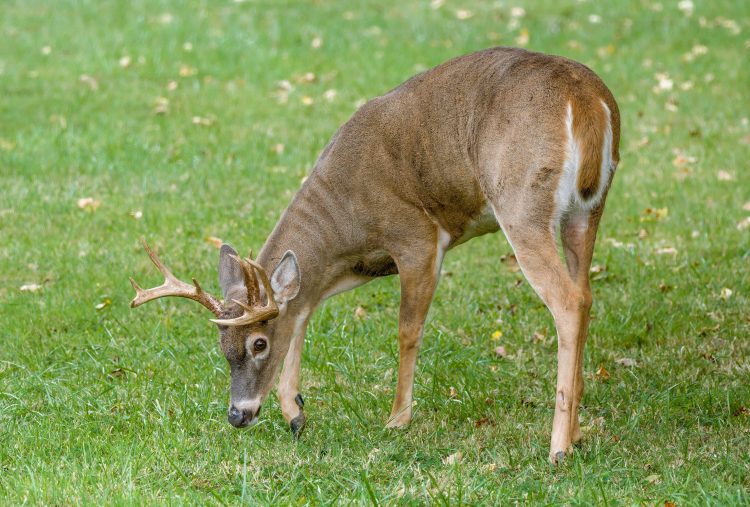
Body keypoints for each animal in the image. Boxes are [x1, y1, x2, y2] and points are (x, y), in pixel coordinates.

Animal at [129, 47, 620, 464]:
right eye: (222, 347)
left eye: (258, 343)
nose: (237, 415)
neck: (347, 215)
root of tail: (587, 99)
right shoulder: (354, 266)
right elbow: (303, 307)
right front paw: (295, 412)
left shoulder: (417, 237)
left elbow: (406, 331)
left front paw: (397, 417)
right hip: (587, 210)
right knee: (586, 293)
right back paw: (576, 433)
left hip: (521, 202)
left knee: (566, 300)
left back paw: (558, 447)